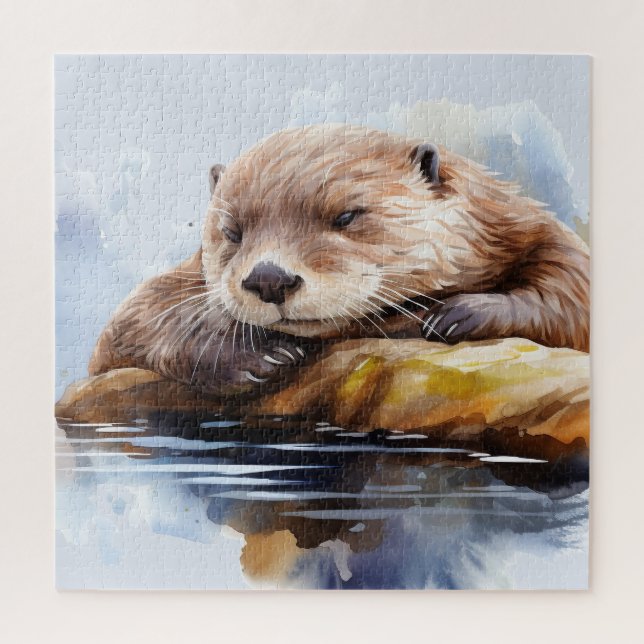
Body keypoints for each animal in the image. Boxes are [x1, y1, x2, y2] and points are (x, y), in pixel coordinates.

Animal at [89, 124, 589, 396]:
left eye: (346, 216)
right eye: (232, 231)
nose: (269, 279)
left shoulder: (515, 221)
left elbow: (574, 287)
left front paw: (460, 314)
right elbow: (137, 317)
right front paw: (259, 357)